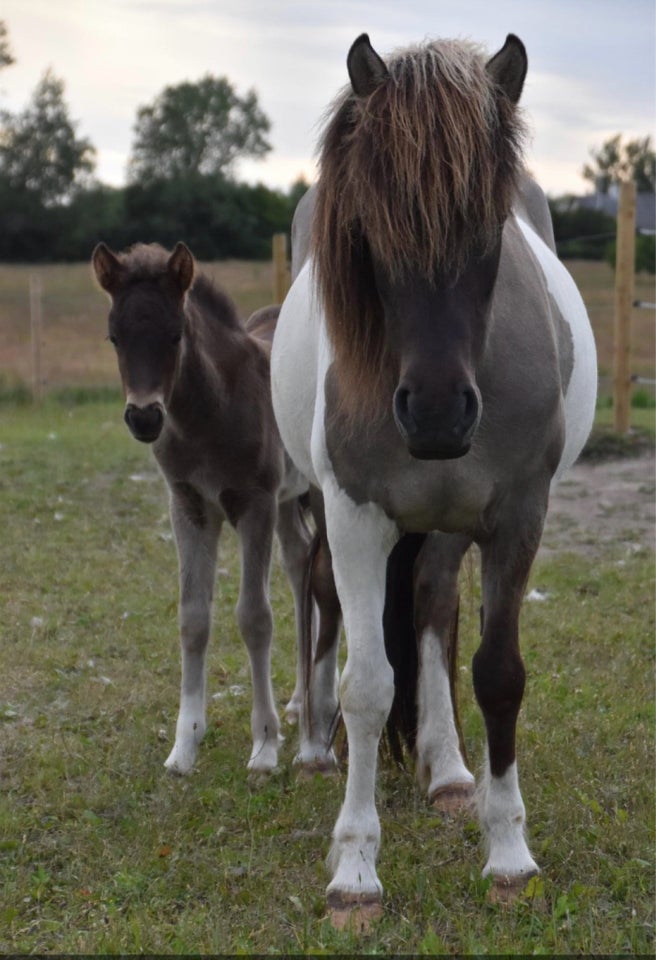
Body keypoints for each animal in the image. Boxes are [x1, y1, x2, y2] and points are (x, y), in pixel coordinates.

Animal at [270, 31, 596, 924]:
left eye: (490, 229)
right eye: (371, 231)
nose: (440, 413)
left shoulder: (518, 516)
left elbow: (497, 675)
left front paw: (508, 851)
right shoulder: (354, 516)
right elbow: (369, 686)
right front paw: (354, 870)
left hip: (448, 525)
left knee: (432, 603)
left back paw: (450, 771)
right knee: (326, 600)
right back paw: (312, 745)